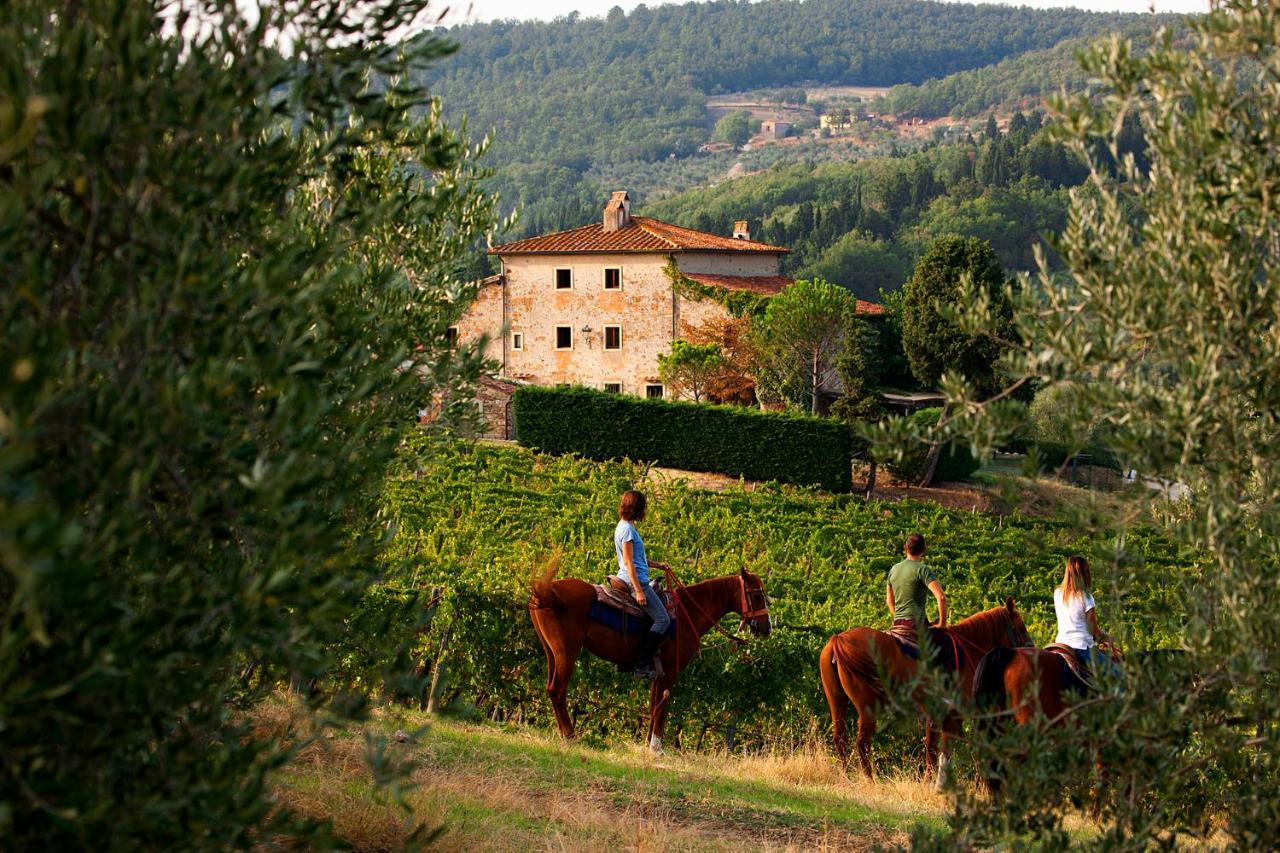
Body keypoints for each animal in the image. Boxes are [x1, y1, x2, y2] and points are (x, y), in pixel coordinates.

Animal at [529, 563, 768, 753]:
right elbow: (662, 706)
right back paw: (569, 735)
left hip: (551, 652)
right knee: (558, 690)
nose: (767, 628)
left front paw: (647, 744)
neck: (687, 614)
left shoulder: (657, 672)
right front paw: (656, 747)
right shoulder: (670, 672)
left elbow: (654, 705)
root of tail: (545, 591)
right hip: (566, 652)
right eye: (757, 596)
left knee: (551, 689)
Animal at [819, 594, 1029, 788]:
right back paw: (869, 781)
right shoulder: (953, 717)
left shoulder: (936, 715)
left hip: (836, 700)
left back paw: (846, 777)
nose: (1030, 650)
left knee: (840, 738)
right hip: (867, 707)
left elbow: (931, 749)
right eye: (1021, 627)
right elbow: (943, 752)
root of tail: (838, 640)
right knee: (862, 743)